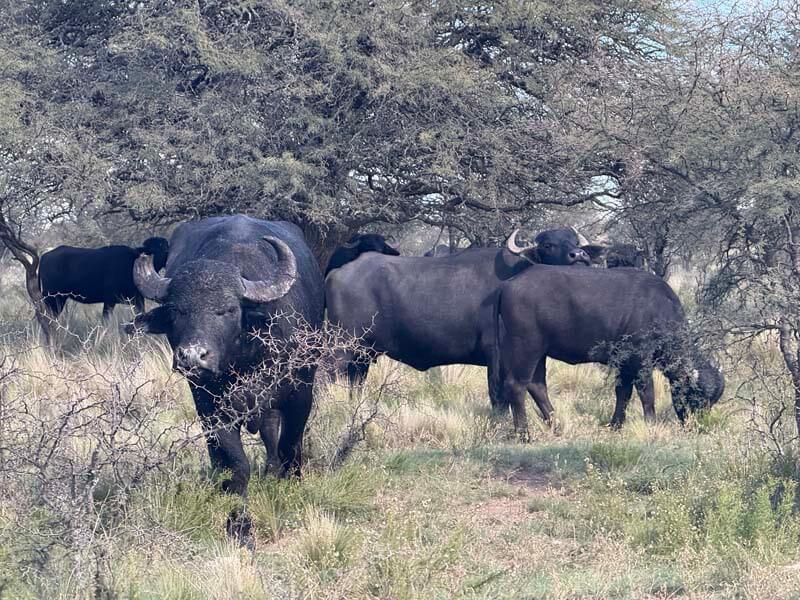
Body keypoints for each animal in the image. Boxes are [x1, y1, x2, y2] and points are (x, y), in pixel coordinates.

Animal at [38, 237, 169, 324]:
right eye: (153, 249)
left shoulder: (137, 299)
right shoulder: (109, 300)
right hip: (53, 299)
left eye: (165, 247)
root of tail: (44, 257)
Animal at [128, 215, 324, 496]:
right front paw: (235, 503)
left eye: (229, 309)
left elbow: (290, 445)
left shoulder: (301, 393)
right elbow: (237, 462)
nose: (192, 356)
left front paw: (291, 484)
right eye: (177, 311)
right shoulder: (210, 405)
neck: (245, 361)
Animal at [492, 265, 724, 436]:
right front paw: (651, 424)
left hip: (540, 352)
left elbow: (623, 394)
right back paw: (524, 433)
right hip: (527, 347)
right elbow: (647, 394)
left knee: (537, 386)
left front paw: (615, 425)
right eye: (698, 397)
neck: (659, 310)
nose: (697, 425)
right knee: (517, 386)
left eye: (711, 402)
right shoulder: (640, 361)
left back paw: (556, 425)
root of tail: (508, 284)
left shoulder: (625, 365)